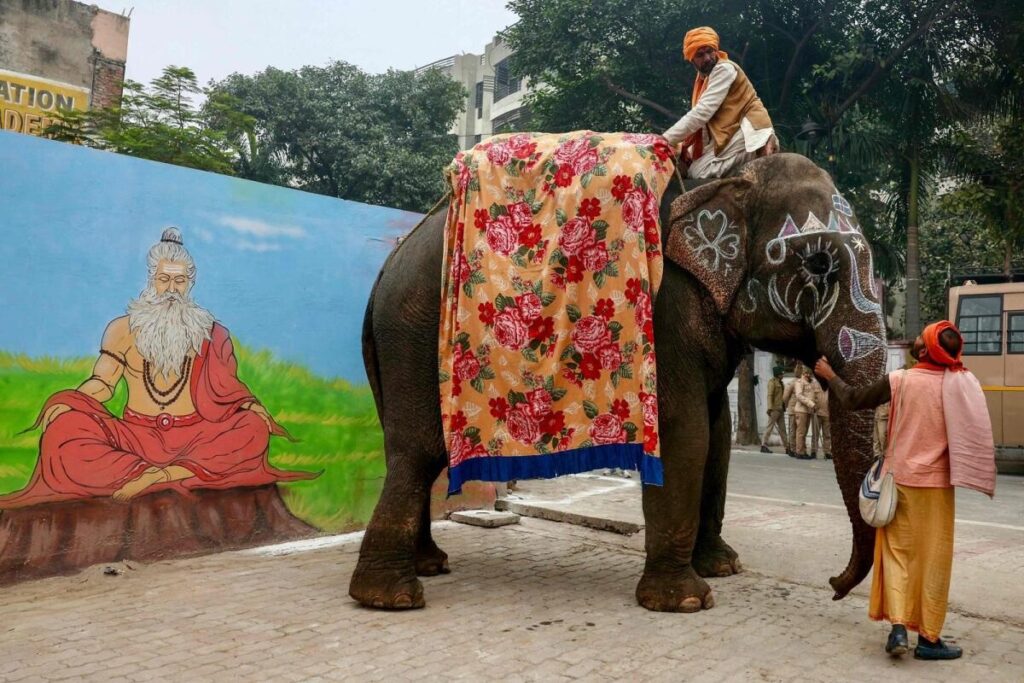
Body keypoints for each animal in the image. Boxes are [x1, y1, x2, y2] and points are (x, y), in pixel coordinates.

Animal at [349, 152, 886, 612]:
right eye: (818, 264)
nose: (834, 584)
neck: (729, 180)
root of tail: (382, 273)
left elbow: (718, 436)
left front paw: (723, 568)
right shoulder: (665, 313)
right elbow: (684, 433)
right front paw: (686, 601)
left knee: (412, 453)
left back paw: (429, 566)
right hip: (418, 338)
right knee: (419, 452)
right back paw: (391, 597)